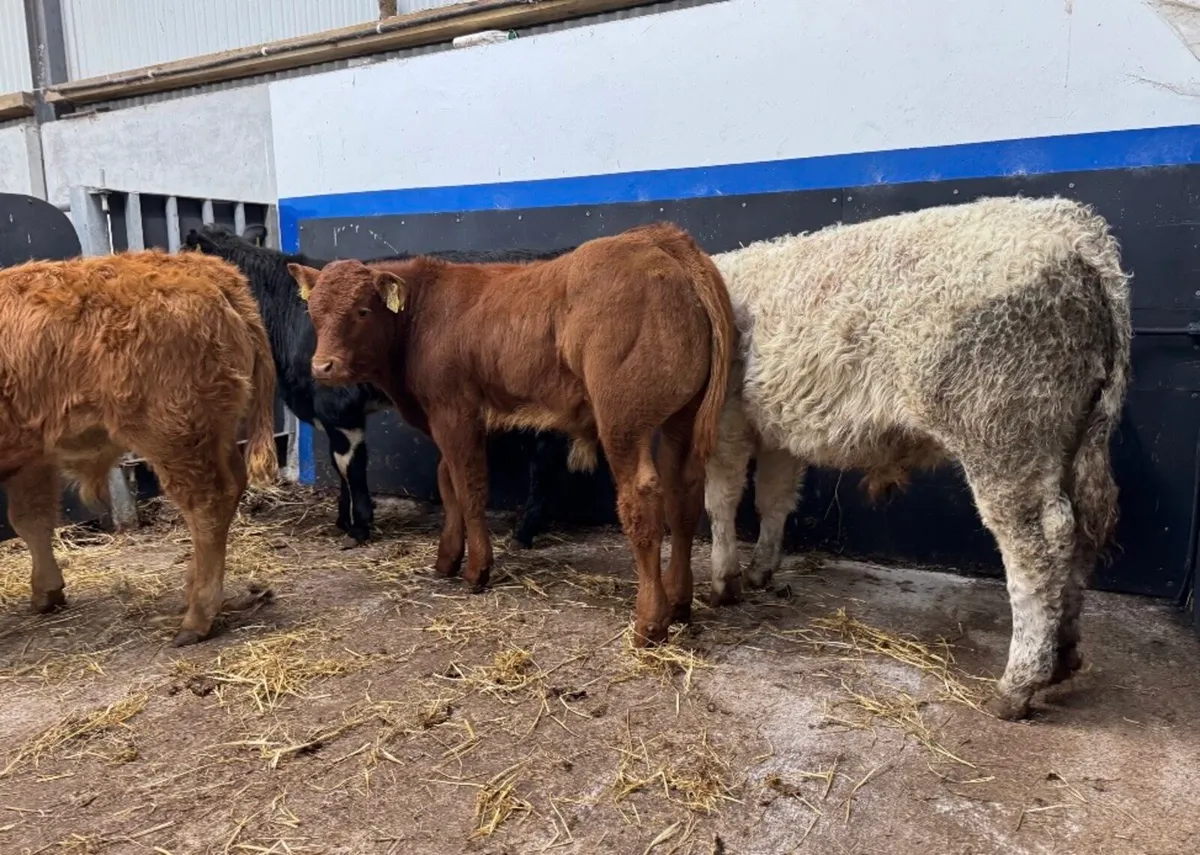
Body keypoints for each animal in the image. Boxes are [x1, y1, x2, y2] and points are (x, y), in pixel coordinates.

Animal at [0, 250, 279, 645]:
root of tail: (207, 271)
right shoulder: (30, 458)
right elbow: (31, 519)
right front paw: (46, 593)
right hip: (213, 434)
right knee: (228, 491)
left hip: (173, 437)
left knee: (207, 504)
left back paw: (196, 618)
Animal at [184, 224, 575, 549]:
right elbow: (338, 465)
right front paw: (343, 520)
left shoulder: (339, 406)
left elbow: (351, 466)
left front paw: (359, 527)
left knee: (543, 457)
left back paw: (525, 532)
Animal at [289, 223, 736, 644]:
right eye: (313, 311)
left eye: (363, 310)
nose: (322, 366)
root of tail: (658, 239)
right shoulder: (450, 419)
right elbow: (447, 482)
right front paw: (447, 558)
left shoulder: (454, 412)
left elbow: (469, 488)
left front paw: (476, 569)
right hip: (682, 417)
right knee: (683, 495)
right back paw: (679, 603)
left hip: (623, 420)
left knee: (641, 500)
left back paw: (650, 622)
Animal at [702, 196, 1131, 720]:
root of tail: (1077, 230)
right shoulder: (776, 429)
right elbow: (774, 499)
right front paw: (761, 568)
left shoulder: (726, 419)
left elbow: (721, 500)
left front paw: (724, 580)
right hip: (1073, 434)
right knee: (1084, 530)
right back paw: (1063, 655)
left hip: (1004, 431)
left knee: (1039, 544)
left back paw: (1019, 683)